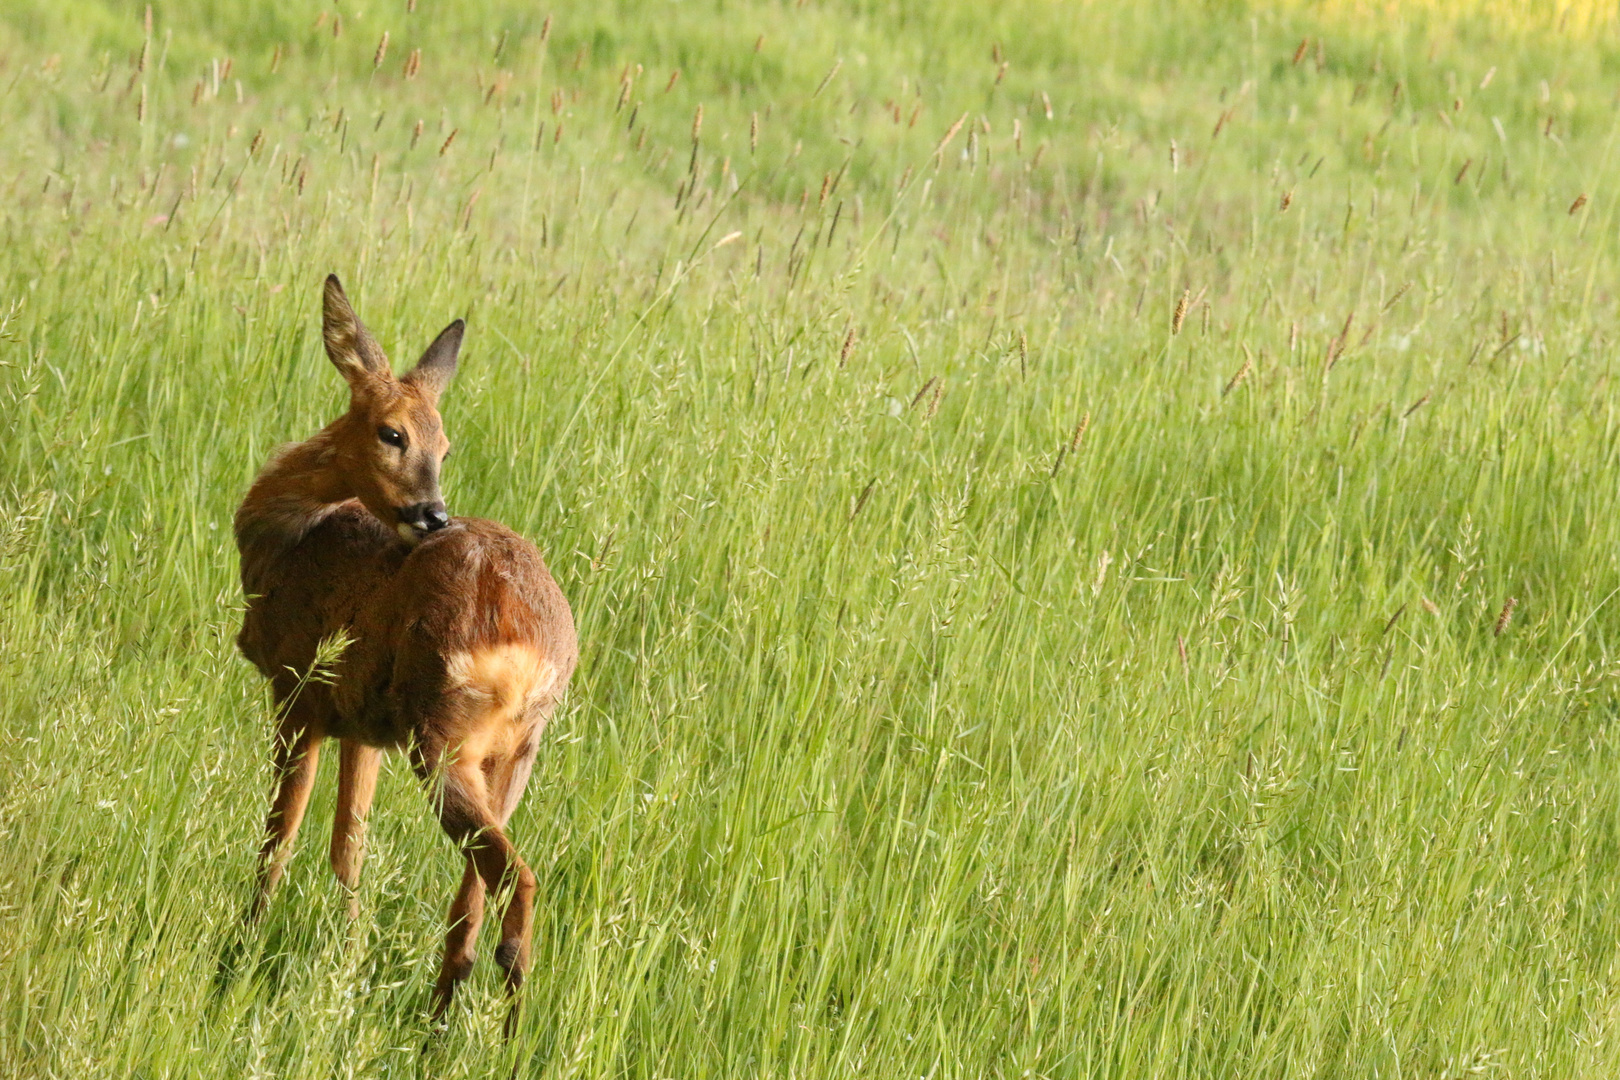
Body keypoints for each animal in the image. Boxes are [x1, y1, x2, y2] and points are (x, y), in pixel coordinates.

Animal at [234, 276, 576, 1023]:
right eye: (394, 433)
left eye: (443, 447)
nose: (433, 514)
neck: (288, 538)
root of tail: (528, 643)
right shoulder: (361, 724)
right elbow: (348, 846)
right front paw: (349, 955)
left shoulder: (298, 689)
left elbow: (281, 836)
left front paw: (239, 944)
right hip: (512, 753)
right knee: (473, 897)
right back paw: (439, 1019)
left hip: (442, 735)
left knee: (515, 878)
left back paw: (505, 1016)